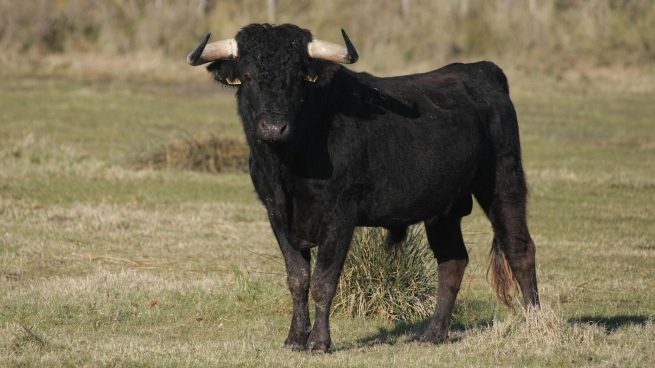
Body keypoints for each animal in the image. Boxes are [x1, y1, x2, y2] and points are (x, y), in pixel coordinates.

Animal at [187, 24, 540, 352]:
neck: (288, 164)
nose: (274, 127)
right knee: (452, 260)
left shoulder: (340, 214)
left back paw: (535, 324)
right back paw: (433, 334)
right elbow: (298, 279)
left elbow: (324, 281)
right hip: (445, 209)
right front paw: (294, 339)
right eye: (247, 77)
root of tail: (481, 70)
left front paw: (319, 342)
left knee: (519, 249)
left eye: (298, 78)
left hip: (503, 182)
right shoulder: (277, 214)